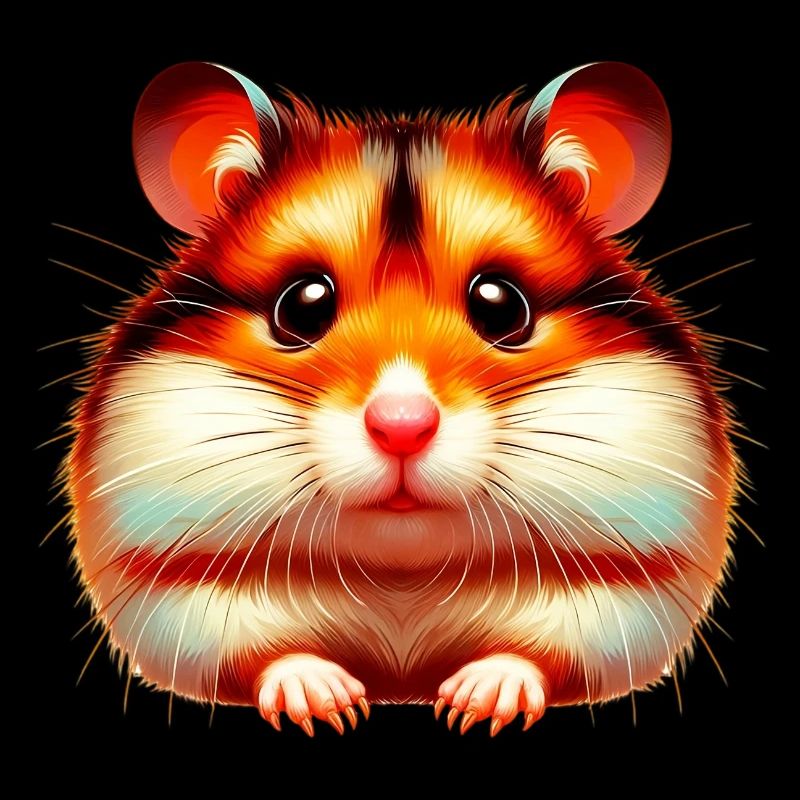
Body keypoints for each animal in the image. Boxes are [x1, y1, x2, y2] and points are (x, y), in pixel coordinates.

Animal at [65, 61, 738, 736]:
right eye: (301, 305)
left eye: (503, 305)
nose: (402, 428)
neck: (401, 579)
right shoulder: (169, 591)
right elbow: (264, 655)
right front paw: (330, 705)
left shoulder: (635, 593)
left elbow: (539, 656)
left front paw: (472, 705)